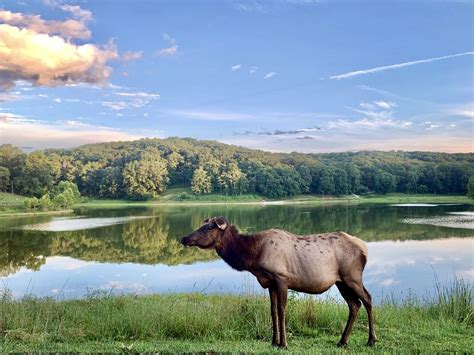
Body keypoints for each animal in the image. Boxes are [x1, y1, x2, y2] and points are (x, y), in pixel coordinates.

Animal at [181, 217, 378, 348]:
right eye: (202, 225)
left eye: (208, 227)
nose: (184, 238)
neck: (253, 257)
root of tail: (365, 248)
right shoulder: (270, 283)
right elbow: (273, 311)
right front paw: (274, 341)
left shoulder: (281, 278)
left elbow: (282, 311)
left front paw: (284, 343)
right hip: (341, 282)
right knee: (354, 304)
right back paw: (342, 341)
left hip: (352, 277)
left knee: (367, 299)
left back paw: (371, 340)